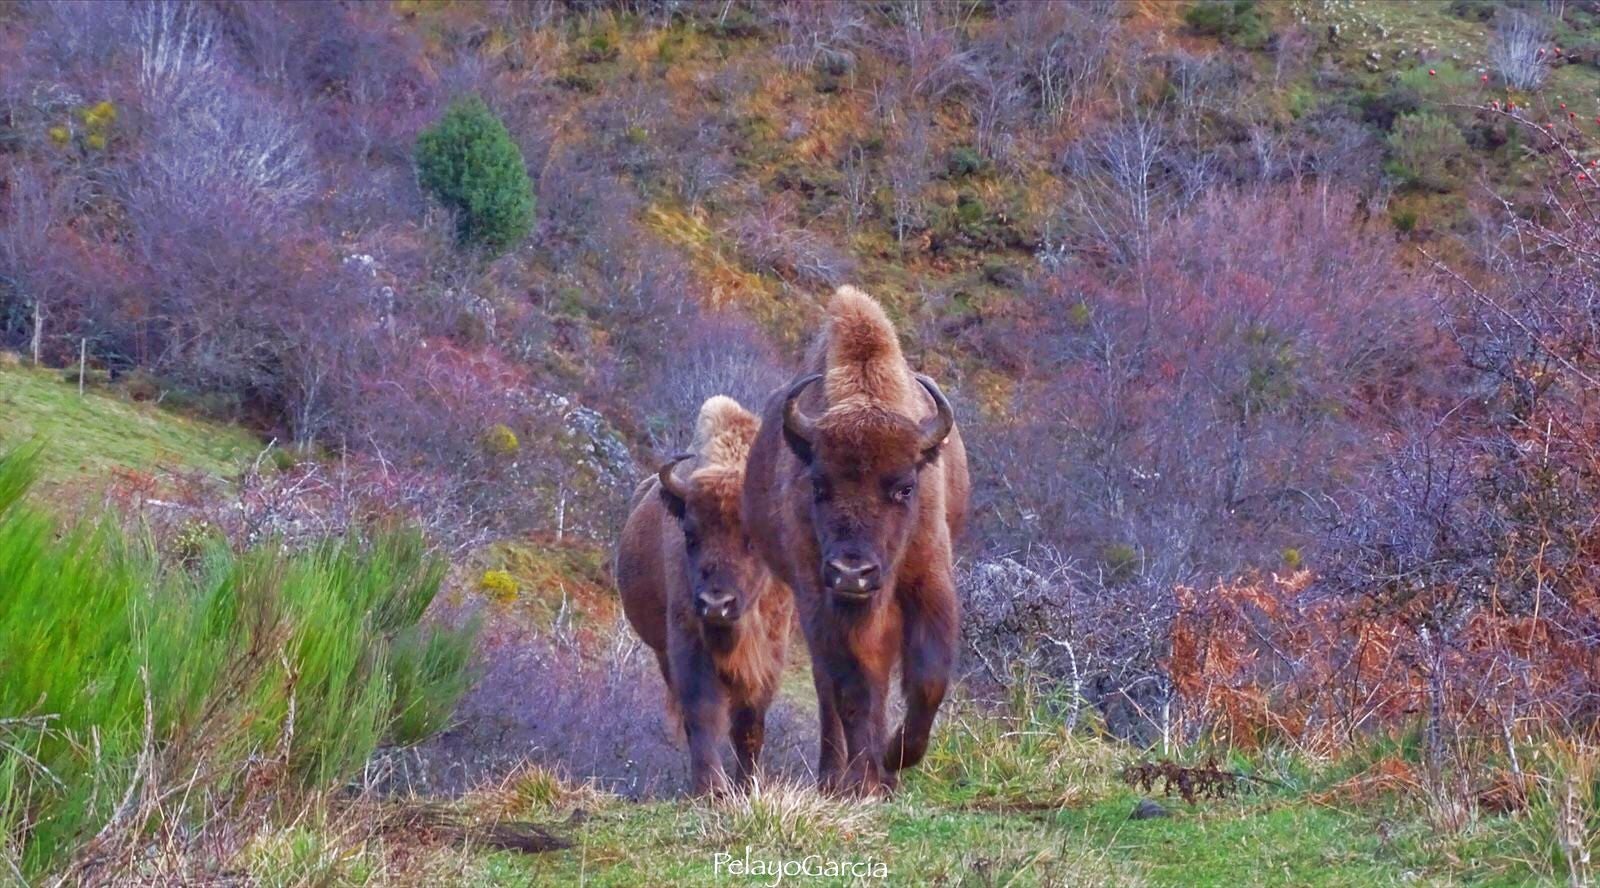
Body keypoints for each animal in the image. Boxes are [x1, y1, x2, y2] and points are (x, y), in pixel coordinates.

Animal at [611, 392, 793, 796]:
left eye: (752, 539)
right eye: (690, 535)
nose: (715, 604)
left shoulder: (769, 651)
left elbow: (750, 724)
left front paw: (748, 787)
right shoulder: (687, 639)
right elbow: (702, 711)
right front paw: (711, 788)